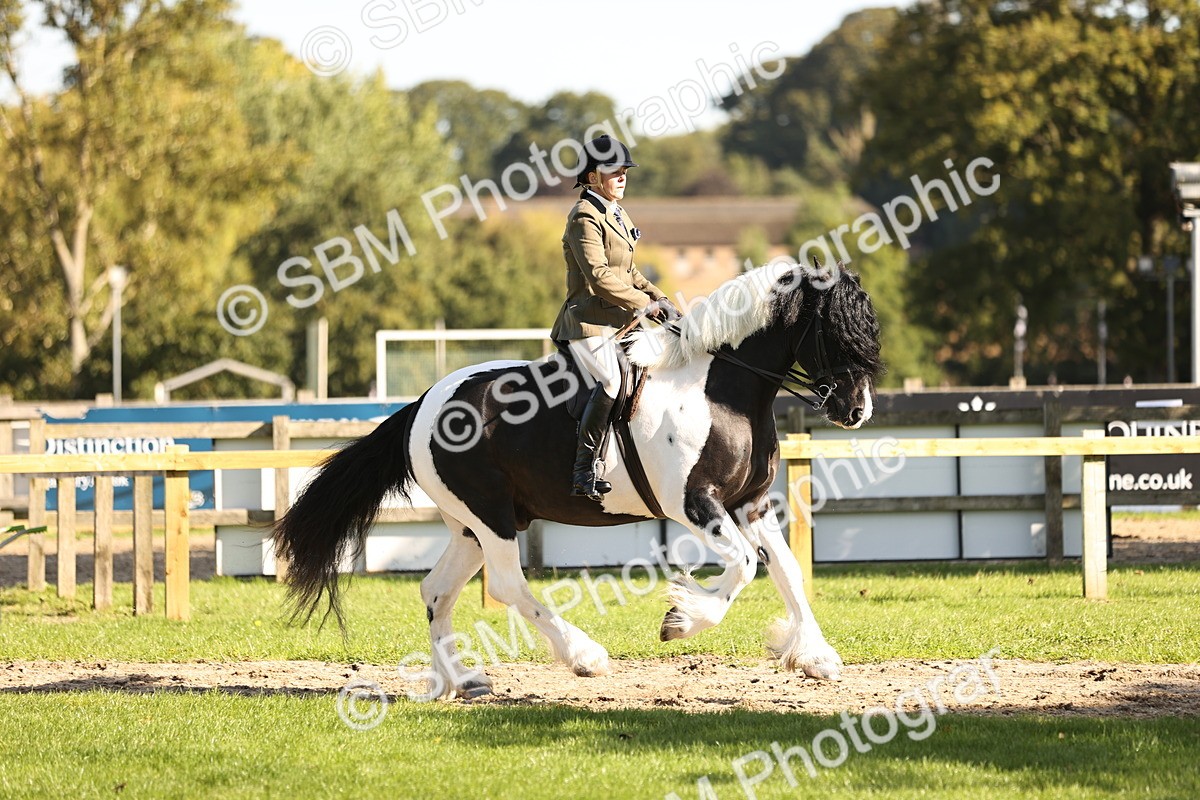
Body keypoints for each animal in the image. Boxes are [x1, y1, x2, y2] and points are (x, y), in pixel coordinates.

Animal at [272, 260, 883, 698]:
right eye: (839, 332)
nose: (857, 411)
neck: (720, 390)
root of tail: (423, 403)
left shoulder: (749, 505)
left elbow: (786, 572)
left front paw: (814, 657)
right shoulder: (696, 504)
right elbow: (746, 567)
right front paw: (682, 619)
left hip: (471, 525)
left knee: (436, 590)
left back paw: (464, 682)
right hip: (491, 518)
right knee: (507, 585)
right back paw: (585, 657)